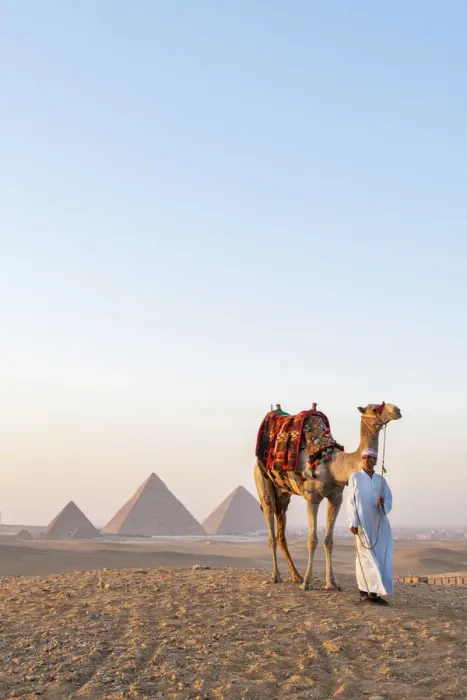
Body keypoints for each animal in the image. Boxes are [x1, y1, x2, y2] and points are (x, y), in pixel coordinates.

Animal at [254, 402, 402, 590]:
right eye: (374, 409)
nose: (396, 410)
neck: (333, 465)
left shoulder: (336, 497)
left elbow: (329, 541)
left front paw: (331, 583)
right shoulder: (312, 497)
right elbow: (312, 540)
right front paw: (308, 583)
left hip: (283, 495)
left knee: (281, 530)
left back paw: (296, 576)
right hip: (263, 481)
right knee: (270, 524)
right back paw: (276, 576)